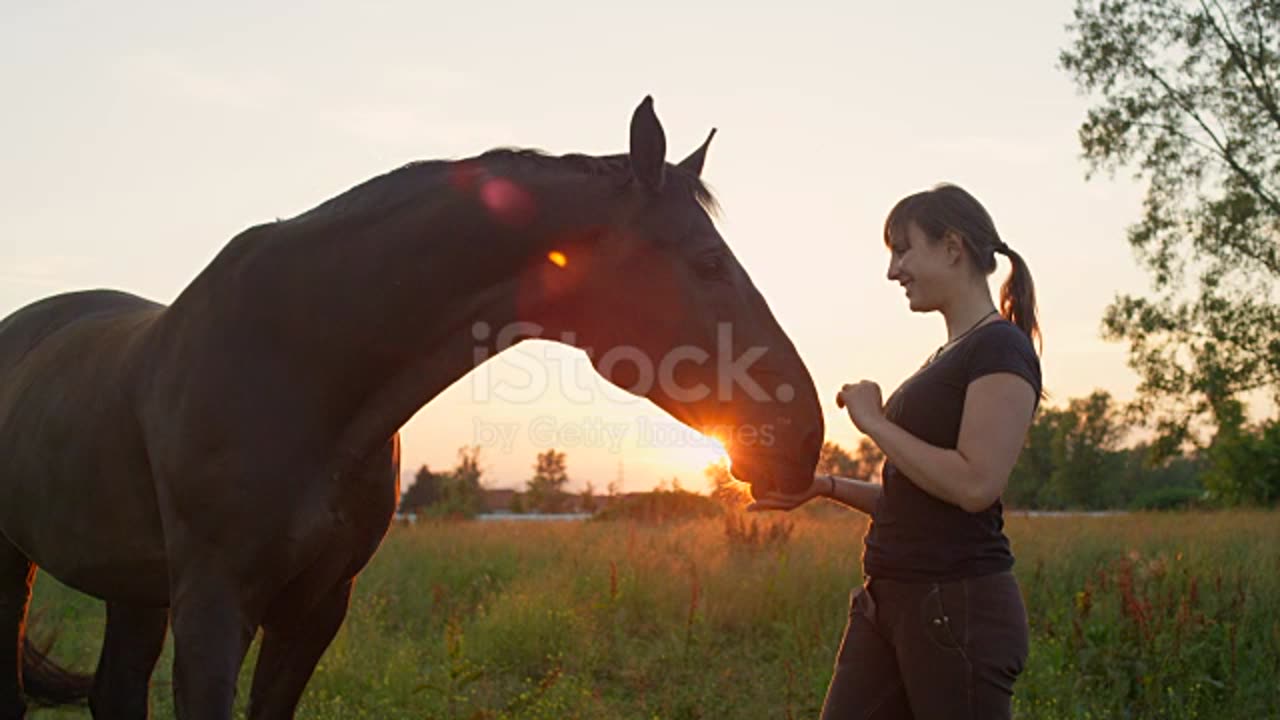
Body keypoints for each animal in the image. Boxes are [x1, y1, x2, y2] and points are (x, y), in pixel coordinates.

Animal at [0, 96, 819, 717]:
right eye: (708, 263)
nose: (803, 434)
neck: (300, 364)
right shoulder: (213, 606)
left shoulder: (317, 607)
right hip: (20, 566)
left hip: (132, 586)